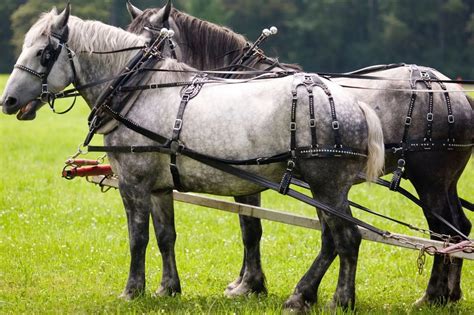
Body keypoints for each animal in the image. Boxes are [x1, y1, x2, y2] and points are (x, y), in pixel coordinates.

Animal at [0, 5, 386, 314]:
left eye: (44, 52)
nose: (8, 100)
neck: (139, 90)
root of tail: (353, 103)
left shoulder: (133, 183)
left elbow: (138, 237)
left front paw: (132, 291)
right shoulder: (159, 188)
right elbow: (165, 235)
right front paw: (167, 288)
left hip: (327, 186)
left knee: (347, 238)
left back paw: (338, 300)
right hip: (326, 190)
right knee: (334, 238)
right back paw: (305, 295)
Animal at [126, 0, 474, 310]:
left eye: (148, 44)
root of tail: (453, 92)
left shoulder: (245, 180)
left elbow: (251, 229)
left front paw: (249, 285)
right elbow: (253, 227)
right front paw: (247, 283)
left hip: (427, 181)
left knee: (442, 231)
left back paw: (432, 294)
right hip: (446, 182)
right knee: (460, 227)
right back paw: (450, 293)